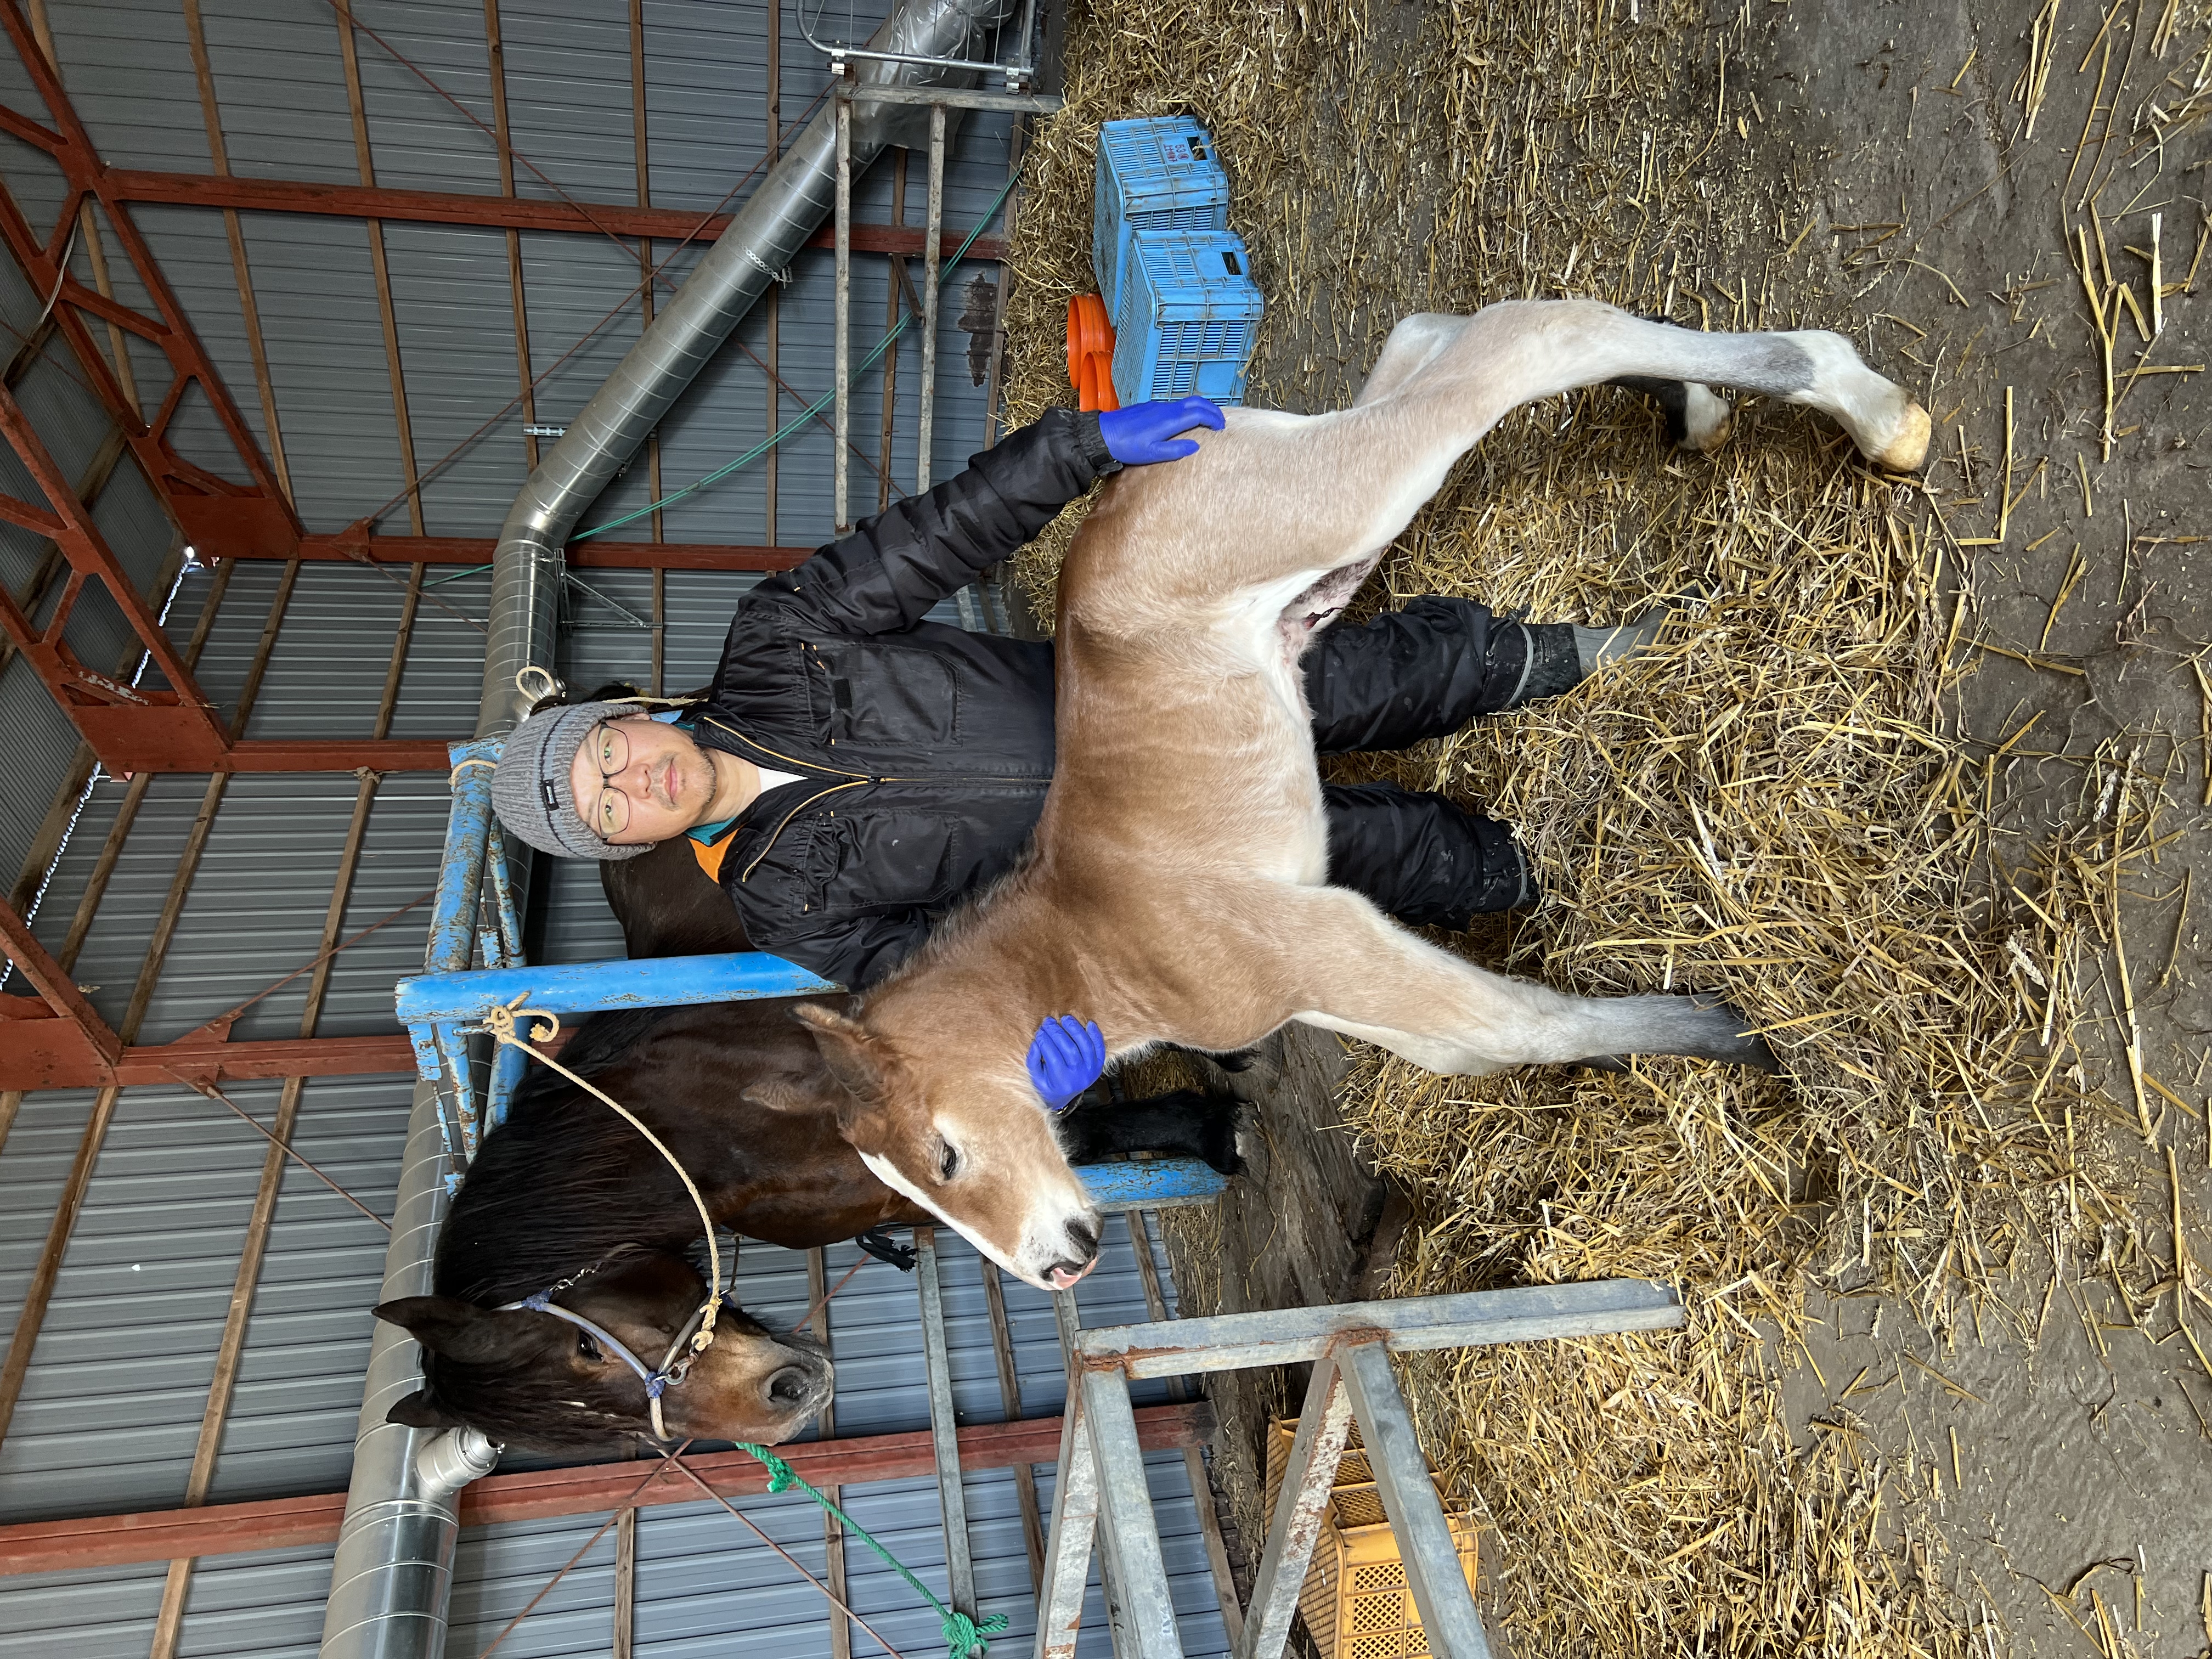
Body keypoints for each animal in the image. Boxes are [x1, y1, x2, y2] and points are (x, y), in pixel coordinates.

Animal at [374, 838, 1240, 1451]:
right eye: (603, 1435)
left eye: (585, 1351)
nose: (787, 1399)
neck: (705, 1124)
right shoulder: (902, 1186)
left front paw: (1215, 1121)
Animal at [746, 301, 1932, 1292]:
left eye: (944, 1155)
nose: (1058, 1264)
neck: (1093, 955)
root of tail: (1154, 459)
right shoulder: (1321, 966)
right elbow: (1474, 1043)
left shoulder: (1323, 941)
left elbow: (1518, 1027)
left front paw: (1739, 1037)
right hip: (1325, 519)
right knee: (1440, 337)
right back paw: (1689, 426)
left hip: (1343, 498)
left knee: (1531, 342)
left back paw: (1864, 410)